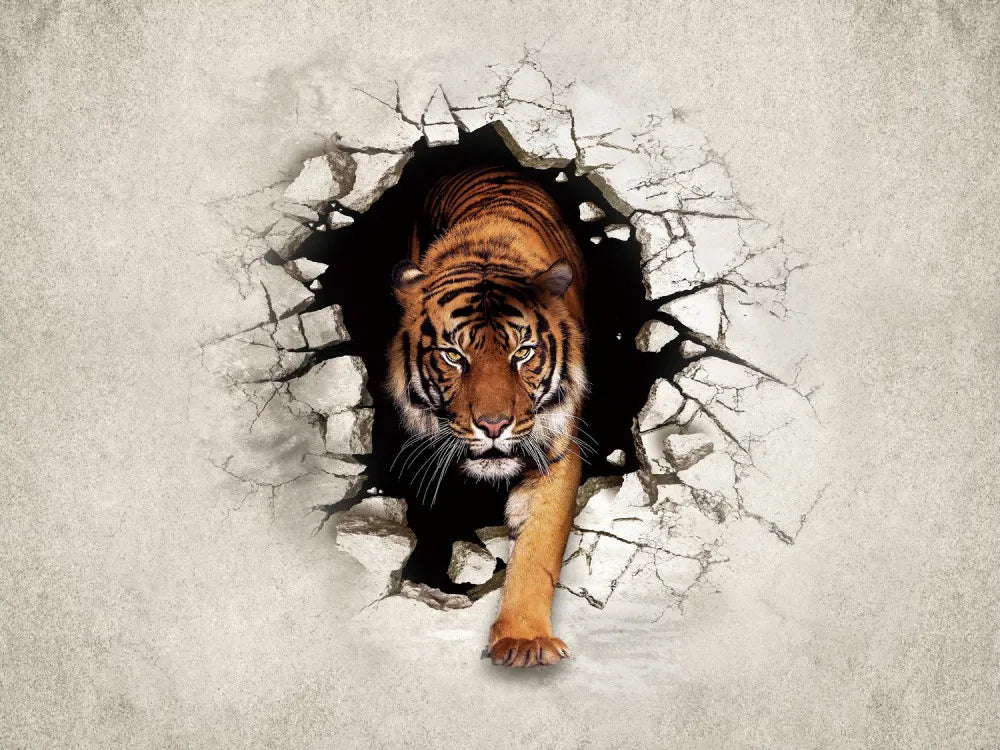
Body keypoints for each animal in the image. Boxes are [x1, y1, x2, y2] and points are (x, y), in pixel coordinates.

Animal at [387, 165, 588, 667]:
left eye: (523, 353)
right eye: (454, 356)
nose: (494, 425)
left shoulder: (555, 453)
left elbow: (538, 549)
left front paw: (524, 639)